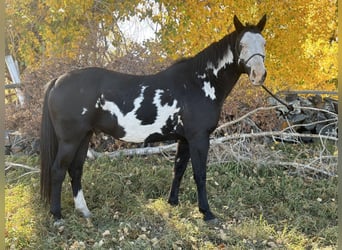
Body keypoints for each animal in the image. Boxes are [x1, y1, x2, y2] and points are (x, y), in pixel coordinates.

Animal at [40, 15, 268, 223]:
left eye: (264, 43)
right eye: (242, 44)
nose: (259, 75)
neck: (197, 83)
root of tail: (57, 80)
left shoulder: (185, 139)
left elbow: (179, 169)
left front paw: (173, 202)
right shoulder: (199, 138)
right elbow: (200, 174)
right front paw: (207, 213)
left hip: (84, 136)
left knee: (76, 169)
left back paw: (84, 211)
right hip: (70, 140)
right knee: (58, 170)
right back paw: (57, 216)